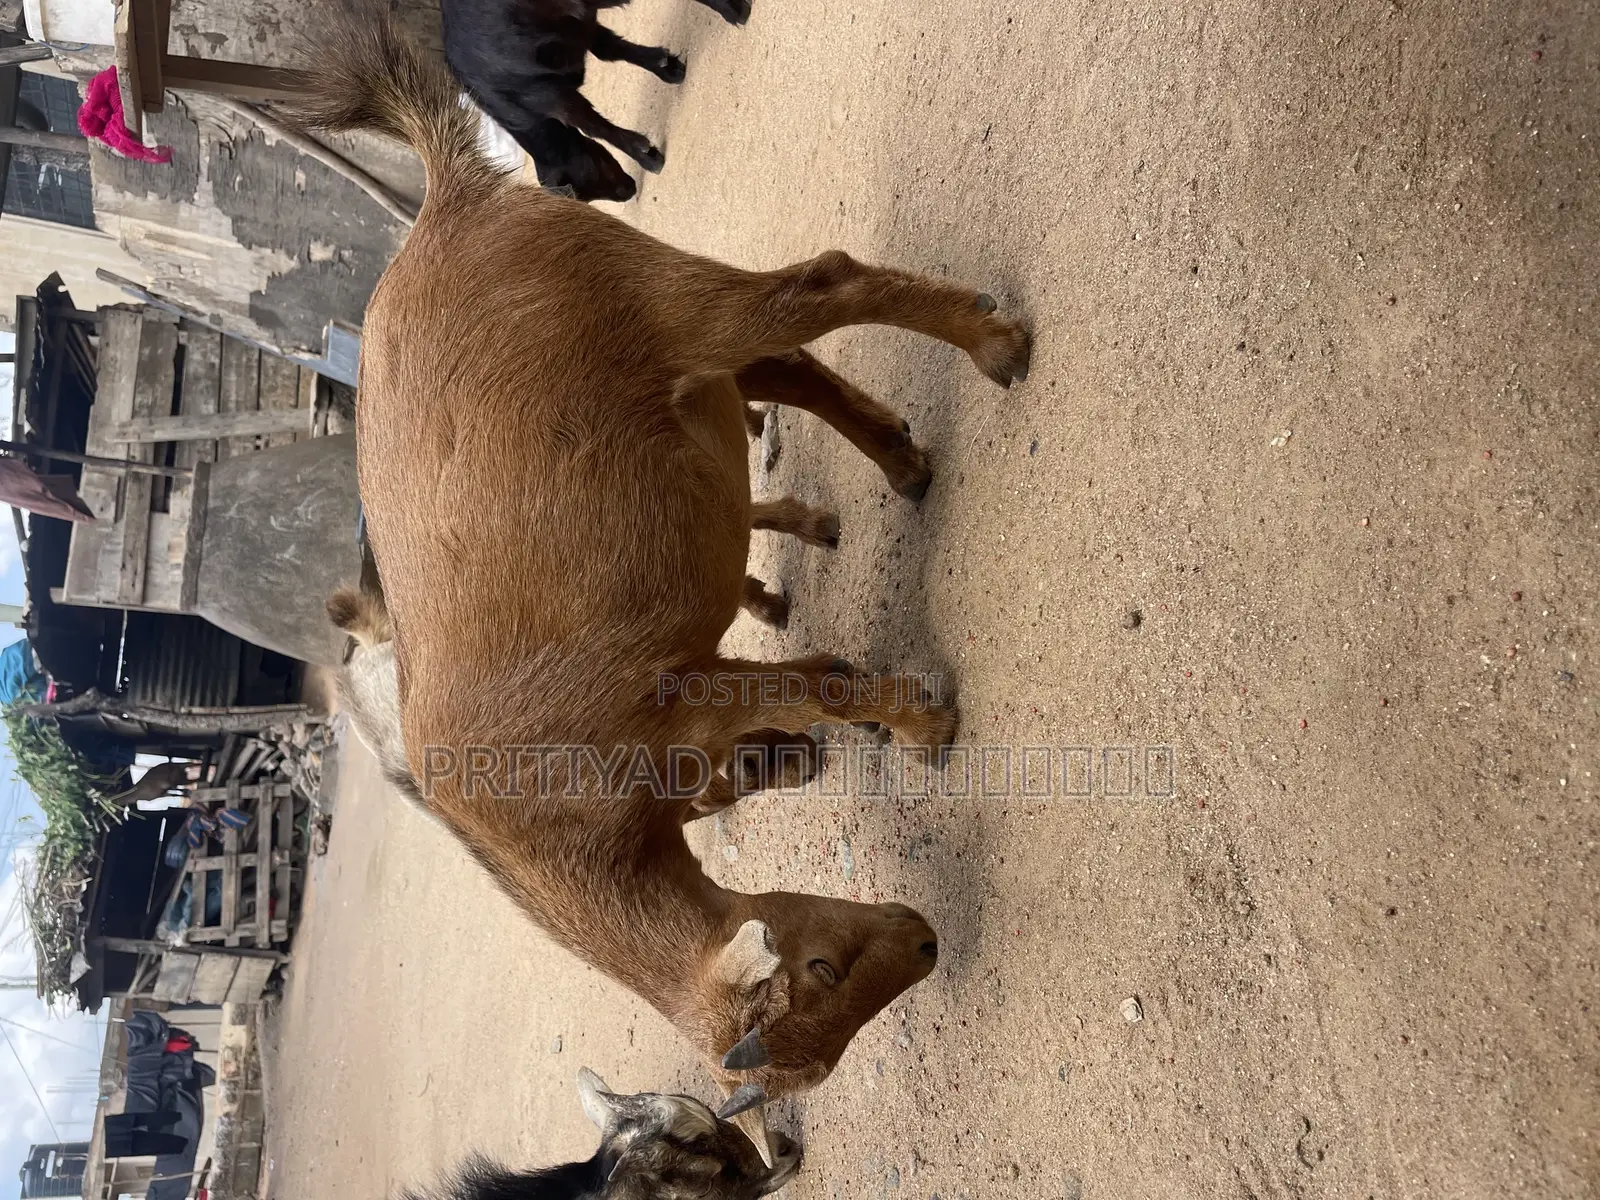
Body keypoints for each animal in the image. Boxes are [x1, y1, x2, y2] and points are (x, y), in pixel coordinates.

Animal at [442, 0, 744, 183]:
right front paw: (666, 67)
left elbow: (594, 125)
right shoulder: (577, 31)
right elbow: (609, 50)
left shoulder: (553, 96)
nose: (629, 189)